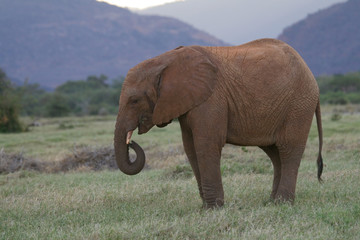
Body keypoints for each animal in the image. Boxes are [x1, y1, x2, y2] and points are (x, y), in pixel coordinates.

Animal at [114, 38, 324, 208]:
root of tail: (310, 73)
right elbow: (190, 148)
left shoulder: (211, 99)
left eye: (134, 101)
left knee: (288, 149)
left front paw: (213, 208)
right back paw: (271, 202)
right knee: (275, 153)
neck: (165, 60)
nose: (131, 142)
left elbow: (206, 144)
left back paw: (282, 203)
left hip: (299, 104)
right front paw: (205, 207)